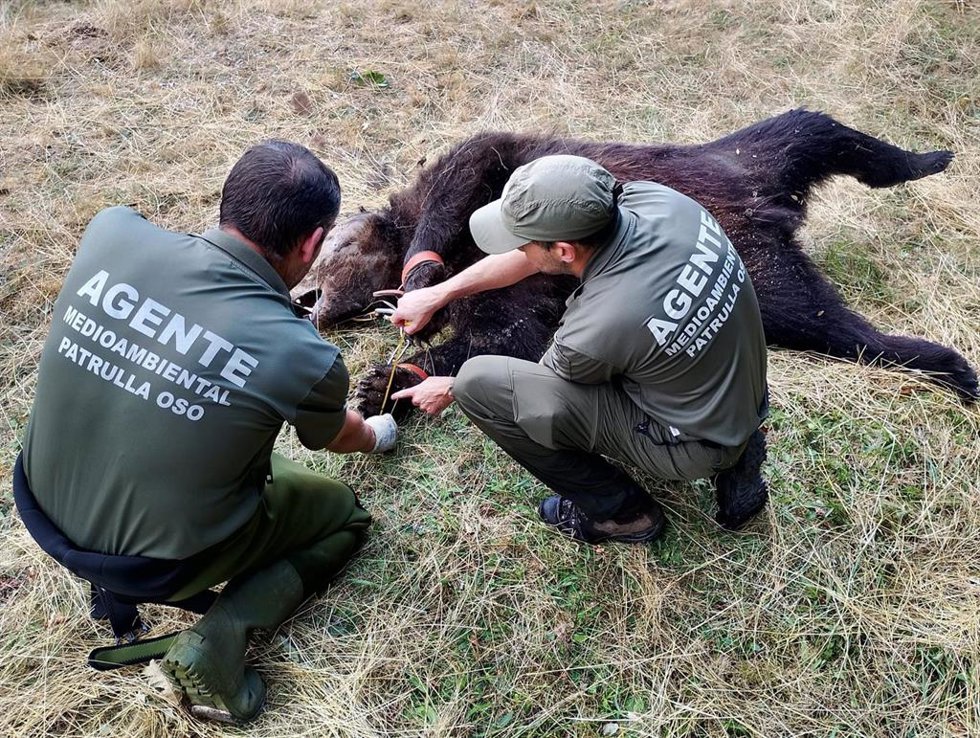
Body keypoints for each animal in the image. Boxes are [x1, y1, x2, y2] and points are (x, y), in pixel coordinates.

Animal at [292, 109, 978, 417]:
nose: (303, 298)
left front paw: (419, 284)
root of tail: (769, 211)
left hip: (736, 162)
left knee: (820, 132)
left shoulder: (493, 171)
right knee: (828, 316)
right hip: (764, 251)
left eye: (330, 246)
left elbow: (473, 161)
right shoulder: (511, 297)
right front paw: (384, 382)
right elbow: (509, 336)